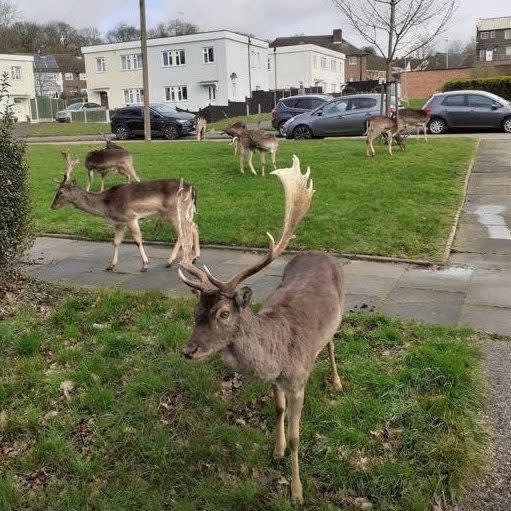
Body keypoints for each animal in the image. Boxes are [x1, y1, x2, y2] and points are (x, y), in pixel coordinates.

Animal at [51, 152, 200, 272]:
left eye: (61, 192)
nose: (52, 206)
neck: (107, 205)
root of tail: (192, 189)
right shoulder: (119, 222)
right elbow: (116, 242)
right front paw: (111, 266)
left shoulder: (131, 217)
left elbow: (138, 240)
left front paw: (145, 265)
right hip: (185, 212)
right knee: (193, 226)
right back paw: (194, 257)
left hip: (174, 213)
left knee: (182, 233)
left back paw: (171, 261)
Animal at [178, 155, 346, 504]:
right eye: (196, 311)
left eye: (224, 313)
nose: (188, 350)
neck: (275, 358)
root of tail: (321, 251)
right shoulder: (276, 381)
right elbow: (277, 410)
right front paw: (276, 450)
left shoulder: (297, 381)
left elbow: (298, 437)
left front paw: (297, 491)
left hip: (342, 310)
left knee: (332, 342)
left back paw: (337, 382)